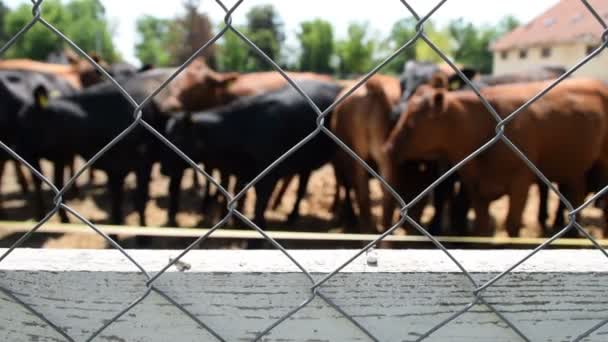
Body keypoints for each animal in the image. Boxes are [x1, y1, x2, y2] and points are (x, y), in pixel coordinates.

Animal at [162, 81, 342, 227]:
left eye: (178, 138)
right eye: (167, 136)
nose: (163, 170)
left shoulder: (267, 179)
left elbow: (259, 212)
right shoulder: (239, 173)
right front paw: (235, 222)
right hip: (305, 163)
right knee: (302, 185)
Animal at [384, 78, 608, 236]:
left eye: (412, 122)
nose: (389, 147)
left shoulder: (521, 181)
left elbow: (512, 224)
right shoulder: (474, 185)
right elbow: (482, 227)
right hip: (575, 167)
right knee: (576, 194)